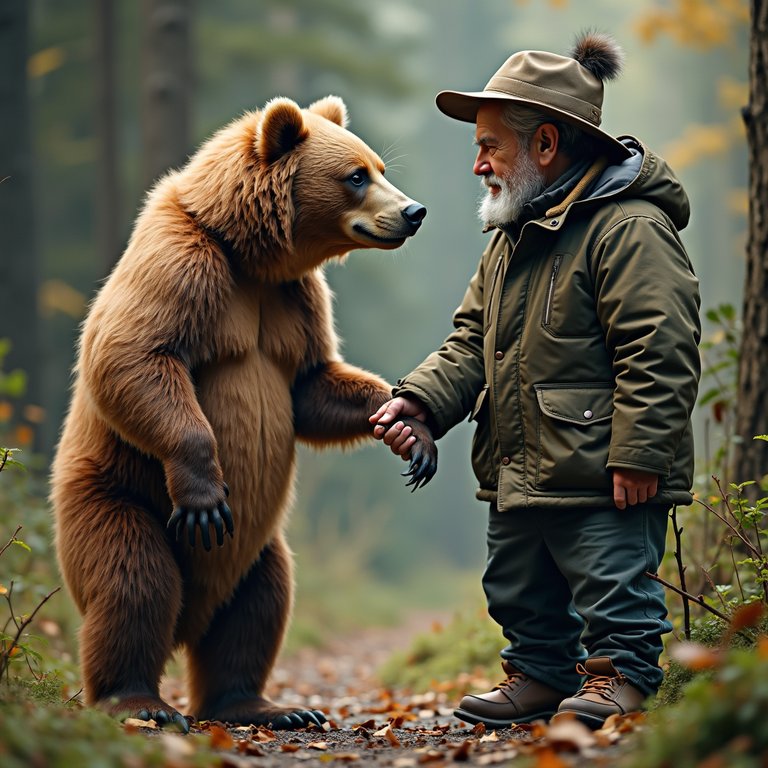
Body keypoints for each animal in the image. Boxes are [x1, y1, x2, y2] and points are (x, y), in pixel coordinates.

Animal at [50, 95, 437, 733]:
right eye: (356, 175)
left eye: (381, 166)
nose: (413, 211)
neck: (248, 256)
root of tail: (190, 621)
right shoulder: (184, 265)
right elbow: (135, 355)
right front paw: (204, 494)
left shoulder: (294, 299)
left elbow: (311, 385)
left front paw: (409, 426)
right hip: (114, 494)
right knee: (134, 582)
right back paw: (139, 701)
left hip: (260, 544)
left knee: (259, 603)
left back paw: (269, 706)